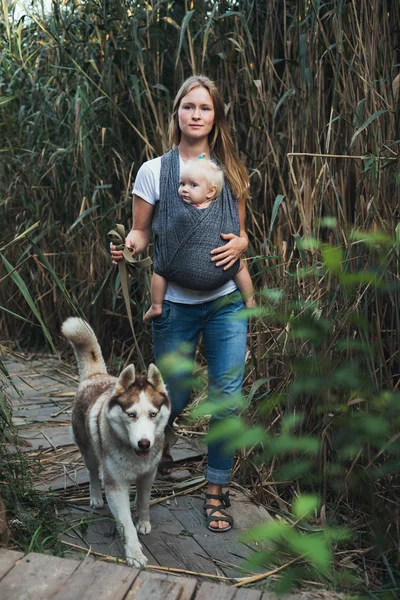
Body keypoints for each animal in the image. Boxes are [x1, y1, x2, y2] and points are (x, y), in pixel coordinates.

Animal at [61, 318, 171, 568]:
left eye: (153, 414)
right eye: (131, 415)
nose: (144, 443)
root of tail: (96, 376)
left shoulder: (148, 473)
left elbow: (144, 501)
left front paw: (143, 521)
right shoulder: (116, 485)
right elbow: (126, 523)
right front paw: (134, 553)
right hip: (89, 451)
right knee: (93, 473)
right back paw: (94, 497)